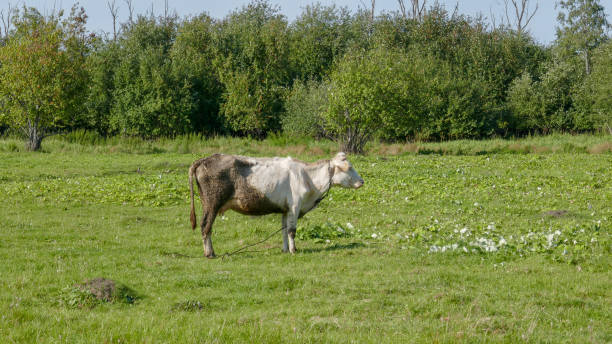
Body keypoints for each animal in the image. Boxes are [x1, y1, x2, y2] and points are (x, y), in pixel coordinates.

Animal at [189, 152, 364, 256]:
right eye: (350, 167)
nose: (362, 181)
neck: (308, 177)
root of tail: (205, 159)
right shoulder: (295, 206)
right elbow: (292, 231)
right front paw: (293, 250)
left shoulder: (286, 210)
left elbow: (284, 230)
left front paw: (285, 249)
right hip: (212, 204)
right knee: (205, 227)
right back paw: (210, 253)